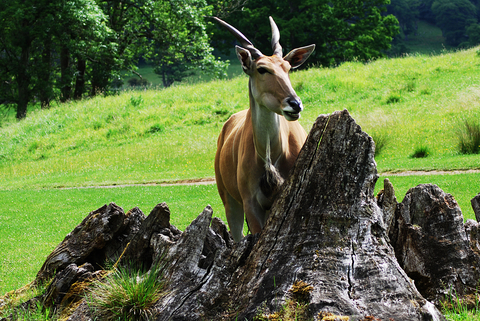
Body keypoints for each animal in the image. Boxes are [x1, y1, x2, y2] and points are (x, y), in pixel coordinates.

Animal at [214, 15, 316, 240]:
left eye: (287, 68)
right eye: (262, 69)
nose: (295, 104)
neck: (270, 155)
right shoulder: (251, 203)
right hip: (229, 200)